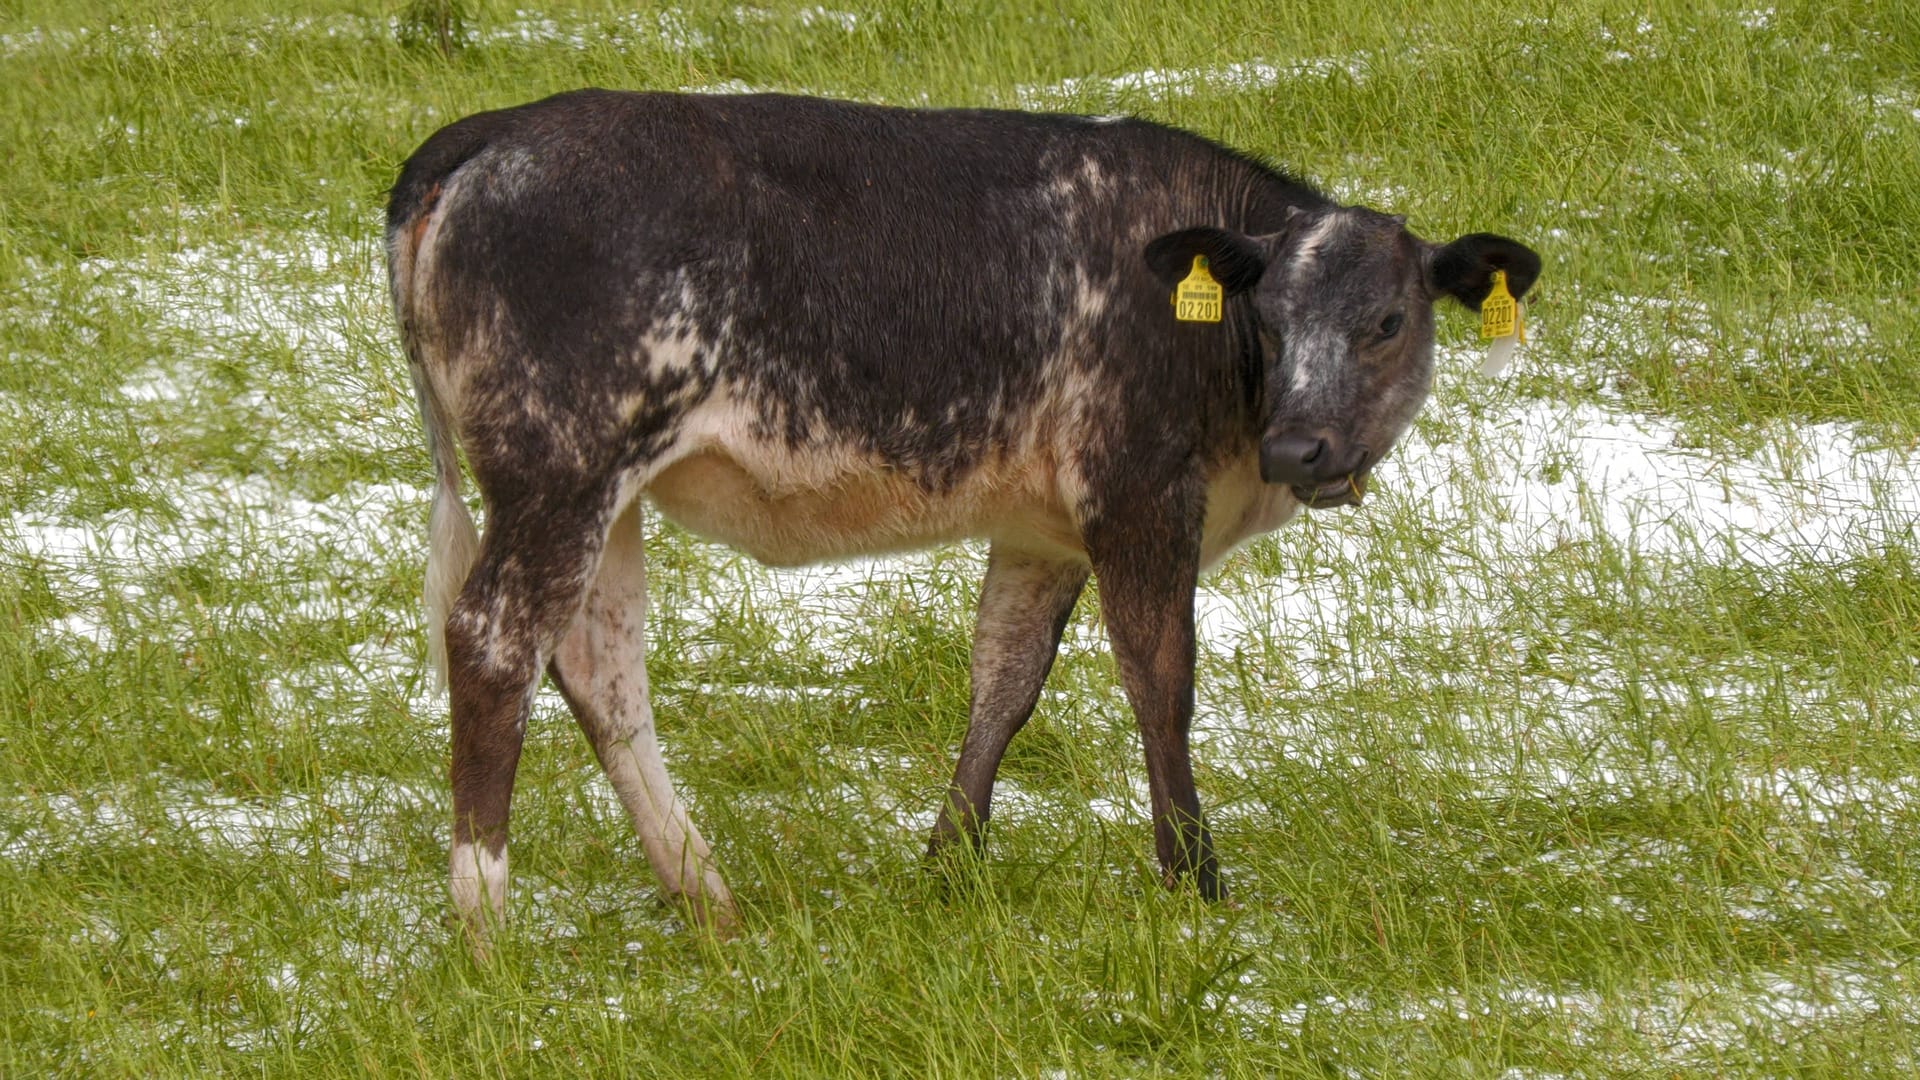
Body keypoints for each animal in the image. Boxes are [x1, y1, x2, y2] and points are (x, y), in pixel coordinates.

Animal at [385, 88, 1543, 937]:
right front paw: (1195, 884)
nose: (1300, 447)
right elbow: (1160, 681)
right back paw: (487, 924)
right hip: (563, 469)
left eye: (1387, 320)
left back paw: (707, 898)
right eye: (1268, 313)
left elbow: (1005, 681)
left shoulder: (1040, 527)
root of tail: (490, 131)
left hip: (606, 493)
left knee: (600, 665)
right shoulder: (1139, 492)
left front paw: (948, 868)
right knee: (495, 641)